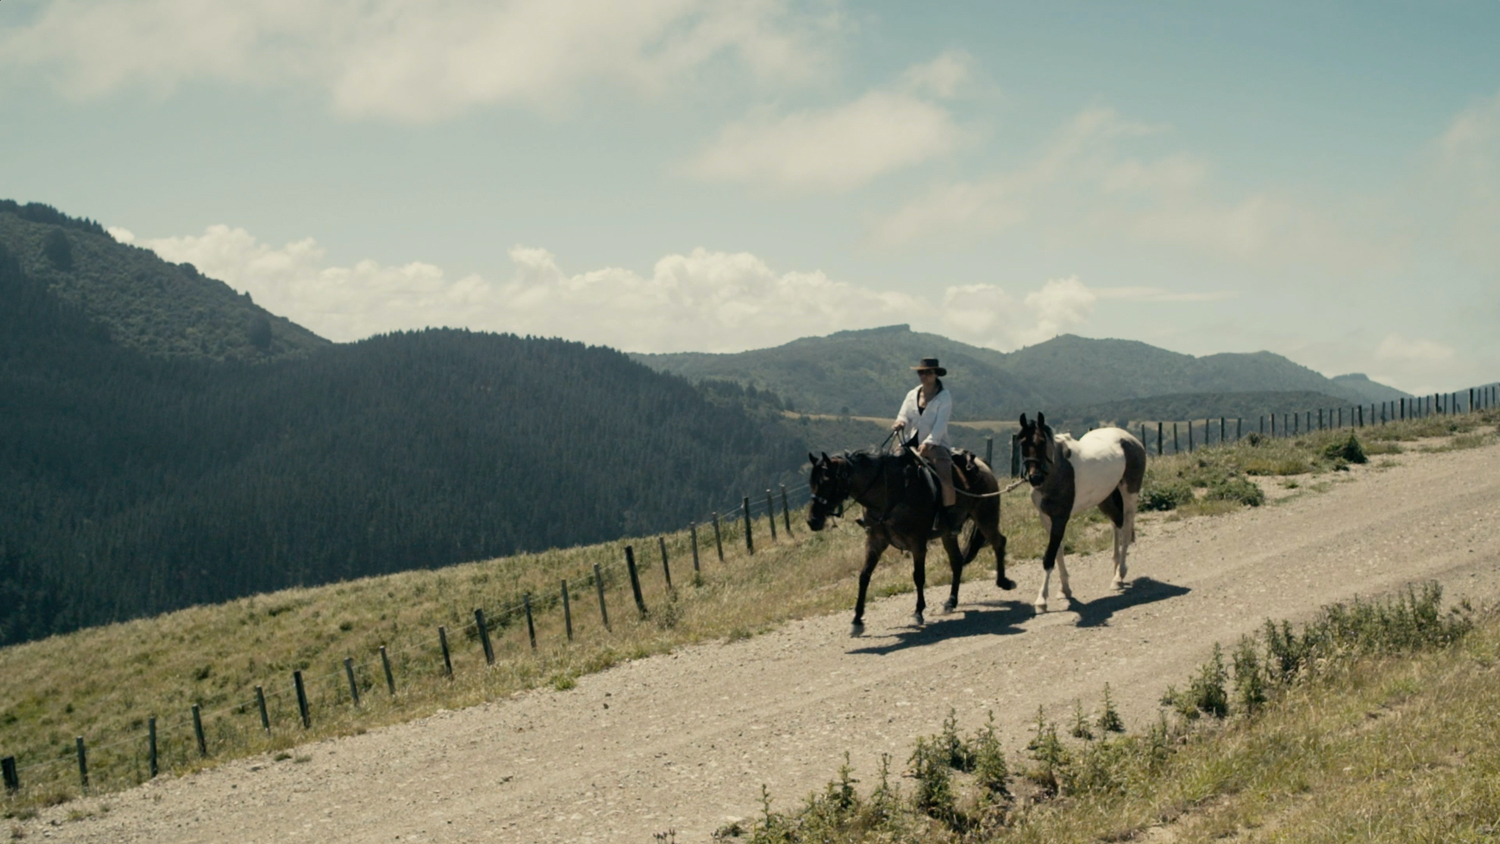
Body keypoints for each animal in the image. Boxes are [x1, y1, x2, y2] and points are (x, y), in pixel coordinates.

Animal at [810, 449, 1008, 635]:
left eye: (826, 482)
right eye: (812, 484)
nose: (812, 521)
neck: (889, 494)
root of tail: (982, 464)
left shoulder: (917, 543)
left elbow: (918, 576)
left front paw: (918, 611)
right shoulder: (875, 542)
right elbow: (864, 576)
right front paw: (857, 620)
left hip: (985, 518)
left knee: (999, 542)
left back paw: (1003, 581)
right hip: (948, 534)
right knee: (957, 561)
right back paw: (951, 602)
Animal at [1020, 413, 1146, 611]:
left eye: (1042, 442)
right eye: (1022, 444)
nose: (1035, 478)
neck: (1057, 471)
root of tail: (1131, 440)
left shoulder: (1060, 518)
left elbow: (1049, 556)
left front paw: (1041, 600)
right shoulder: (1046, 518)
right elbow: (1058, 551)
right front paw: (1064, 590)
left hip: (1129, 494)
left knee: (1126, 529)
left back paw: (1119, 576)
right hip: (1106, 498)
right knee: (1116, 523)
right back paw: (1116, 570)